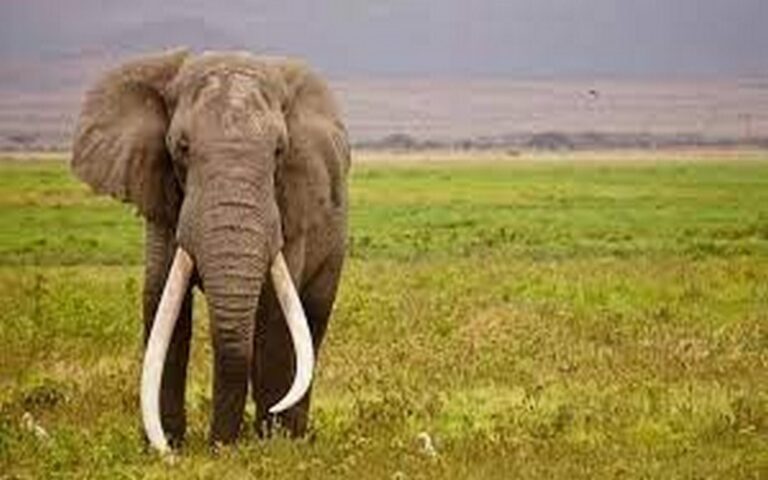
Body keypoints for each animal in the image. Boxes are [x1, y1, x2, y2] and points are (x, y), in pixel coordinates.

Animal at [71, 49, 349, 451]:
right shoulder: (162, 202)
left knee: (309, 321)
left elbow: (274, 313)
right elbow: (162, 301)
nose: (219, 446)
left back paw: (290, 435)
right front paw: (164, 445)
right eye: (182, 148)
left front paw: (271, 447)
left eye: (279, 151)